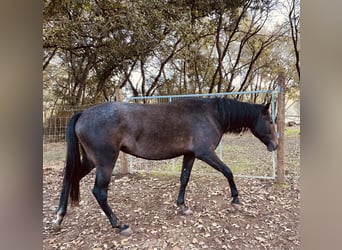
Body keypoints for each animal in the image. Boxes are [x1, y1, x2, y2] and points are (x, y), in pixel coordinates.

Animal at [52, 97, 278, 234]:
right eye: (270, 122)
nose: (275, 145)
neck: (212, 114)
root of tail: (82, 114)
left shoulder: (190, 154)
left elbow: (184, 178)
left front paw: (182, 206)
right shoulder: (205, 153)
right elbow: (228, 171)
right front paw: (236, 199)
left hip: (91, 161)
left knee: (69, 178)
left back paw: (59, 218)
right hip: (105, 162)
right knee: (99, 192)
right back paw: (119, 225)